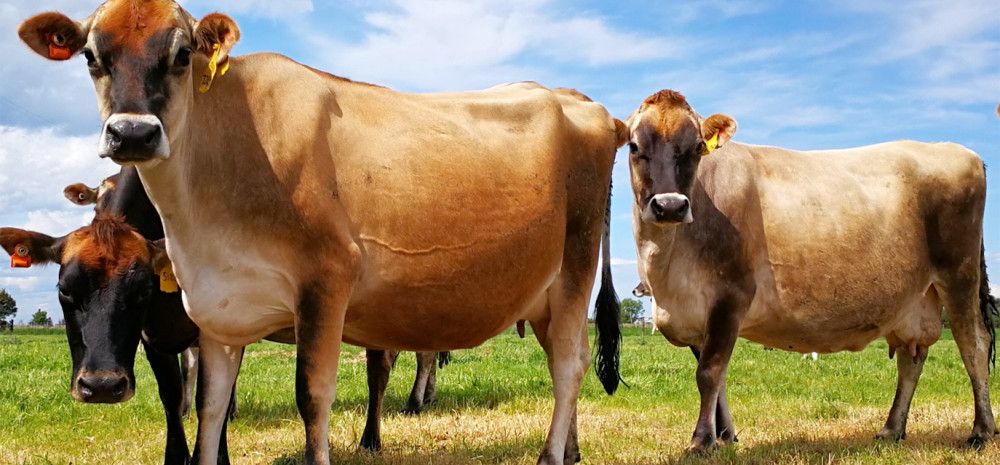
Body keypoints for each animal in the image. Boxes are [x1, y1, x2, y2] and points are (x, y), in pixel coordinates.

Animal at [17, 2, 624, 464]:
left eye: (183, 54)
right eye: (92, 56)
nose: (133, 133)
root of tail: (583, 103)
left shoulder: (326, 284)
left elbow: (312, 398)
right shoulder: (216, 311)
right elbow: (209, 407)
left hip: (575, 269)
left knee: (568, 367)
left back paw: (551, 456)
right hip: (544, 297)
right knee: (569, 357)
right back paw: (572, 451)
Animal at [625, 89, 998, 453]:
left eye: (697, 147)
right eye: (634, 146)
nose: (670, 206)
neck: (667, 269)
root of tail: (958, 150)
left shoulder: (730, 296)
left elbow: (709, 373)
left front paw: (702, 441)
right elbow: (719, 380)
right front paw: (725, 436)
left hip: (959, 274)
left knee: (974, 345)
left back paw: (980, 431)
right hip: (915, 298)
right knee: (911, 358)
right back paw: (891, 429)